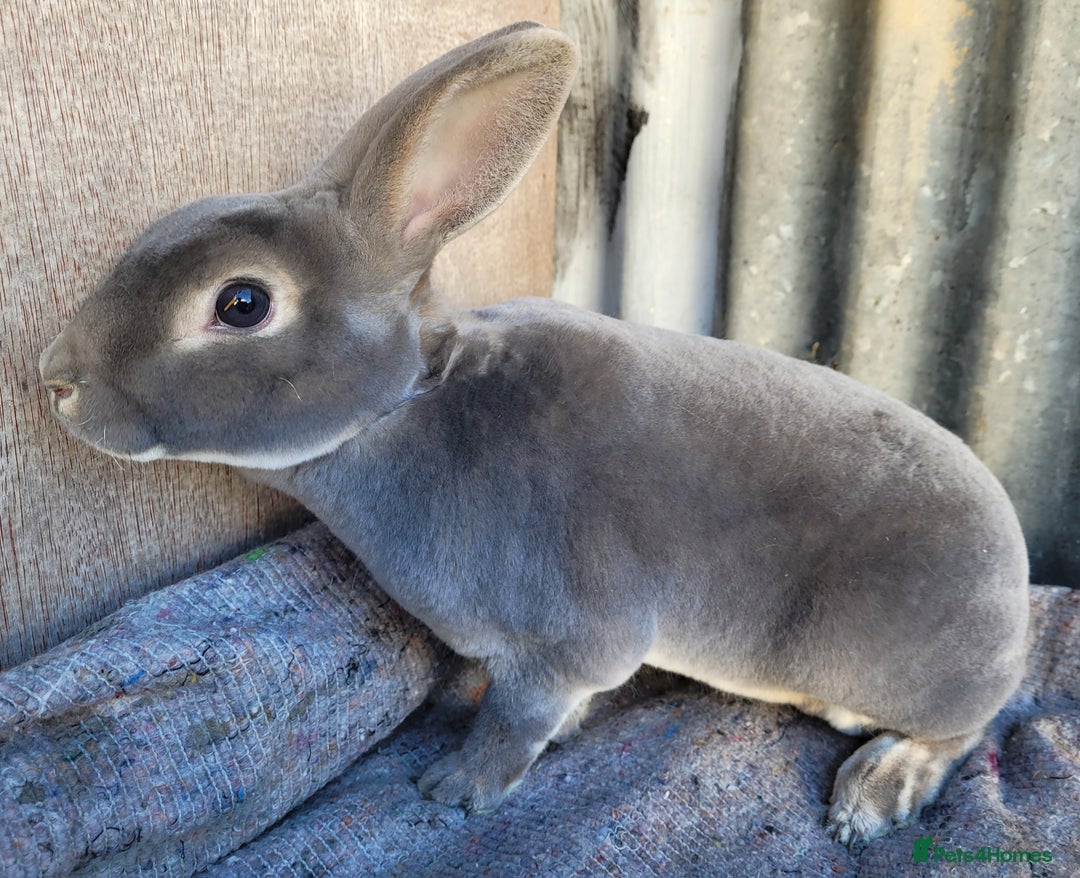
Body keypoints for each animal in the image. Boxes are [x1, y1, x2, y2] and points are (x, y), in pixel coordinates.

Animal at [39, 21, 1029, 845]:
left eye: (241, 304)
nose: (57, 381)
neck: (404, 404)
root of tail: (1014, 587)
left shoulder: (563, 643)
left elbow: (516, 720)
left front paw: (453, 788)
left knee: (965, 728)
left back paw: (874, 796)